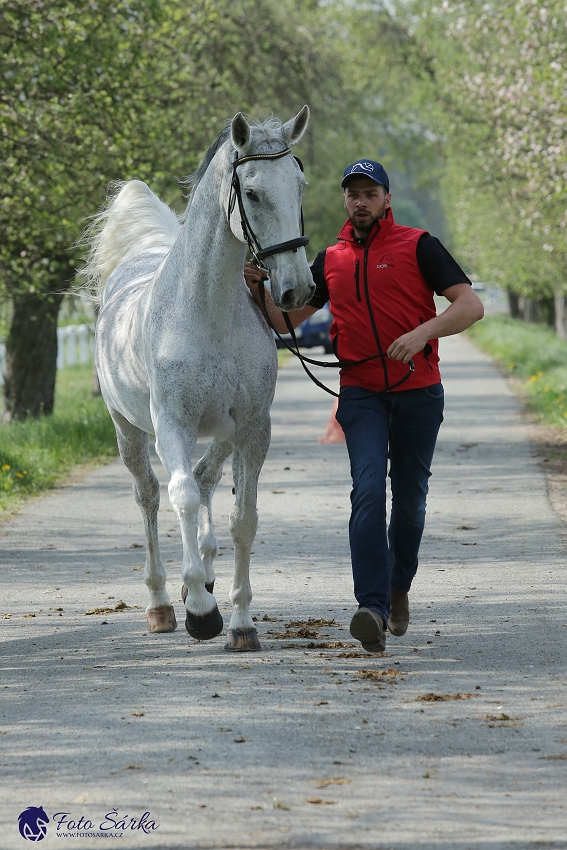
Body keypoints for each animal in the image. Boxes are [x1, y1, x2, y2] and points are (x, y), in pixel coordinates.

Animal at [84, 106, 316, 648]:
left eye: (299, 183)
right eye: (251, 192)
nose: (296, 290)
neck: (206, 313)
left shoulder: (252, 428)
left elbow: (242, 520)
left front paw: (241, 622)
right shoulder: (173, 424)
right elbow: (183, 498)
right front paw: (203, 613)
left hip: (224, 434)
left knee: (207, 480)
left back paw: (205, 576)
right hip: (128, 432)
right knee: (152, 495)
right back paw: (163, 603)